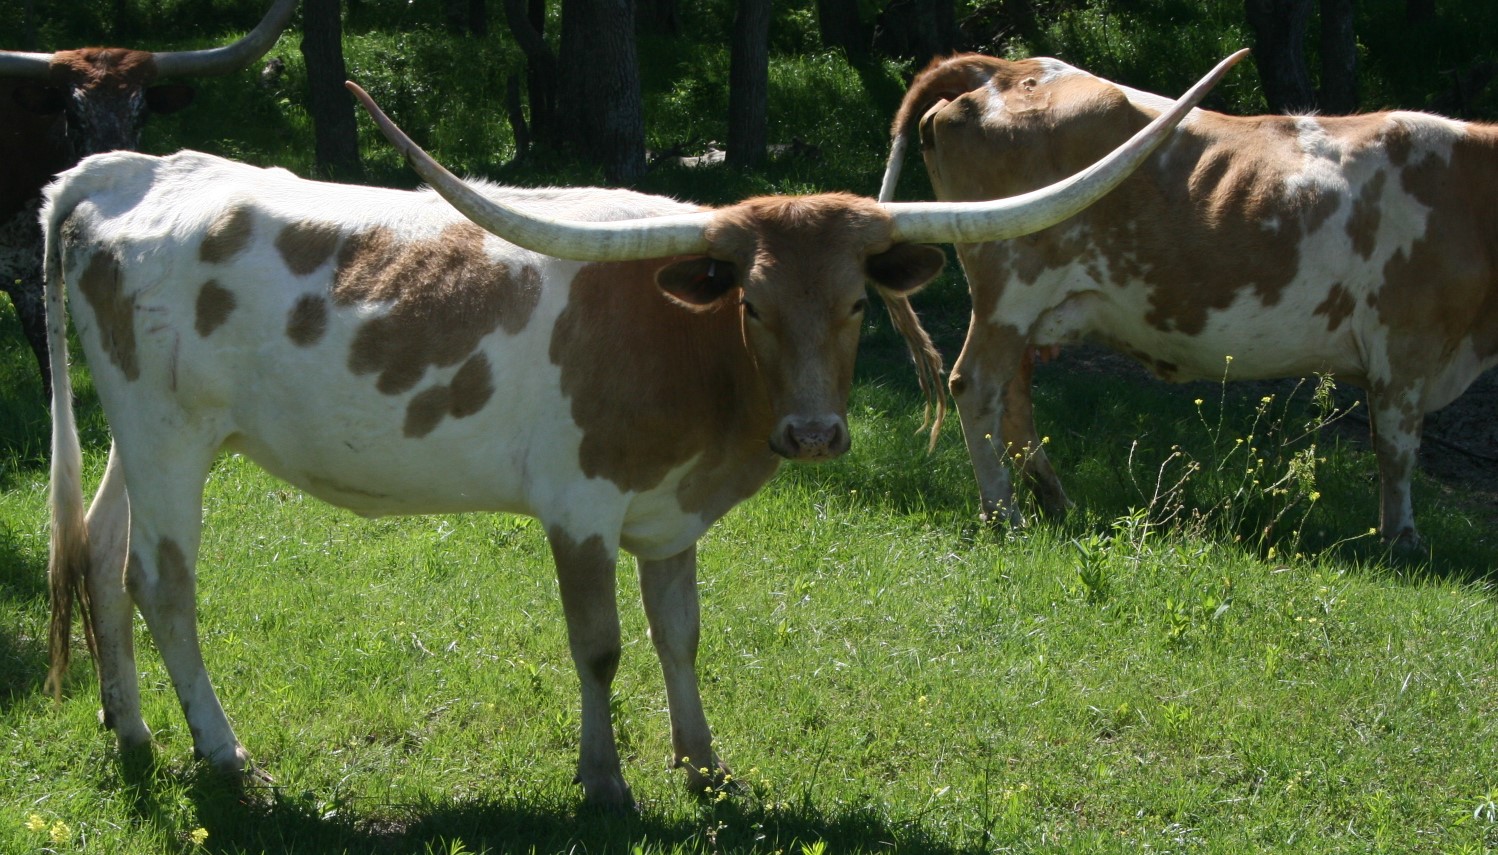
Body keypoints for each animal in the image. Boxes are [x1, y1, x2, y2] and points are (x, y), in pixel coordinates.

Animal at [874, 50, 1498, 545]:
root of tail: (1007, 68)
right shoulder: (1405, 345)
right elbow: (1396, 450)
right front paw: (1402, 540)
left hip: (1026, 306)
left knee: (1014, 398)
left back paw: (1055, 501)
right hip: (1012, 285)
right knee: (977, 384)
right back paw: (1005, 514)